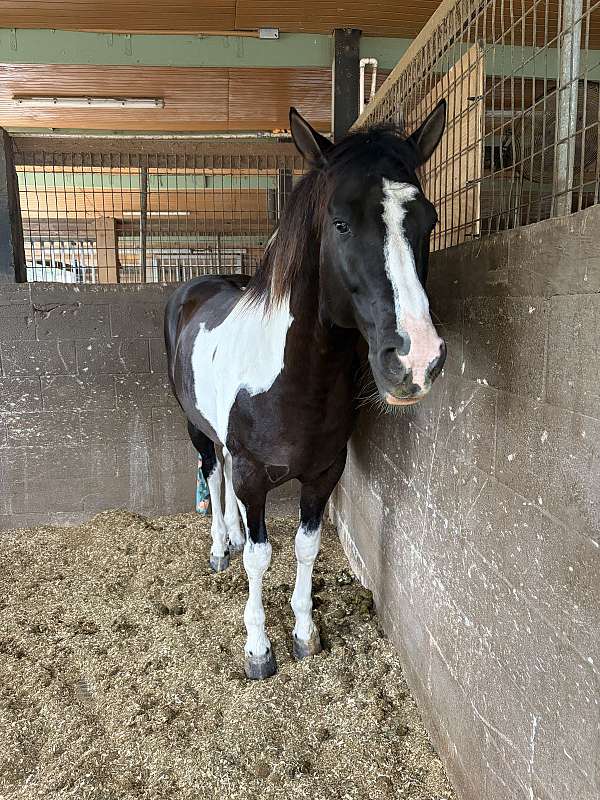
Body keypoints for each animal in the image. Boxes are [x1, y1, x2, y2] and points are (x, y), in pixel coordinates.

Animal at [165, 102, 447, 679]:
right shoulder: (253, 474)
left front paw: (304, 633)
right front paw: (258, 649)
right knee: (212, 473)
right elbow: (260, 556)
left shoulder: (324, 473)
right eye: (340, 222)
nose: (417, 360)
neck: (294, 380)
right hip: (195, 427)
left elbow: (305, 548)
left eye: (427, 219)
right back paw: (219, 548)